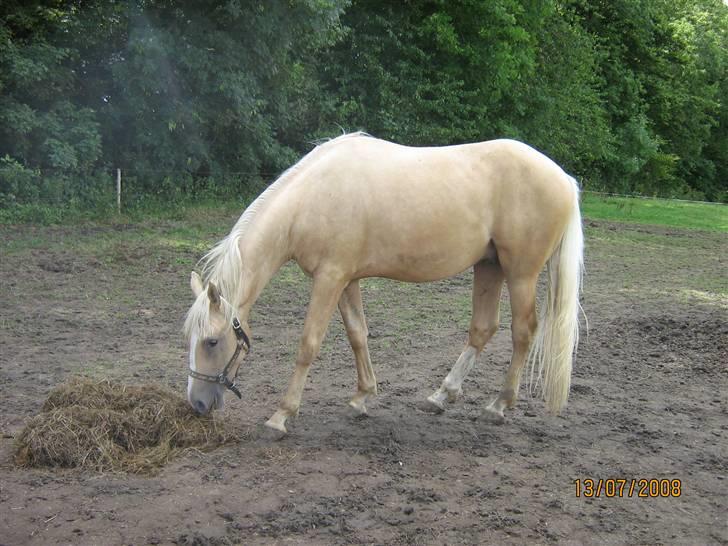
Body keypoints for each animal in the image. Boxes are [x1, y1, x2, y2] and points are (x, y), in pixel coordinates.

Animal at [185, 133, 584, 434]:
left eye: (212, 341)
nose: (197, 404)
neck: (312, 198)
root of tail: (564, 178)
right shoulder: (345, 280)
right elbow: (357, 335)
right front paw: (362, 397)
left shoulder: (329, 278)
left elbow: (308, 344)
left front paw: (281, 415)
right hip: (489, 266)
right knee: (483, 329)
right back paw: (441, 396)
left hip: (520, 274)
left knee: (523, 331)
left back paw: (498, 405)